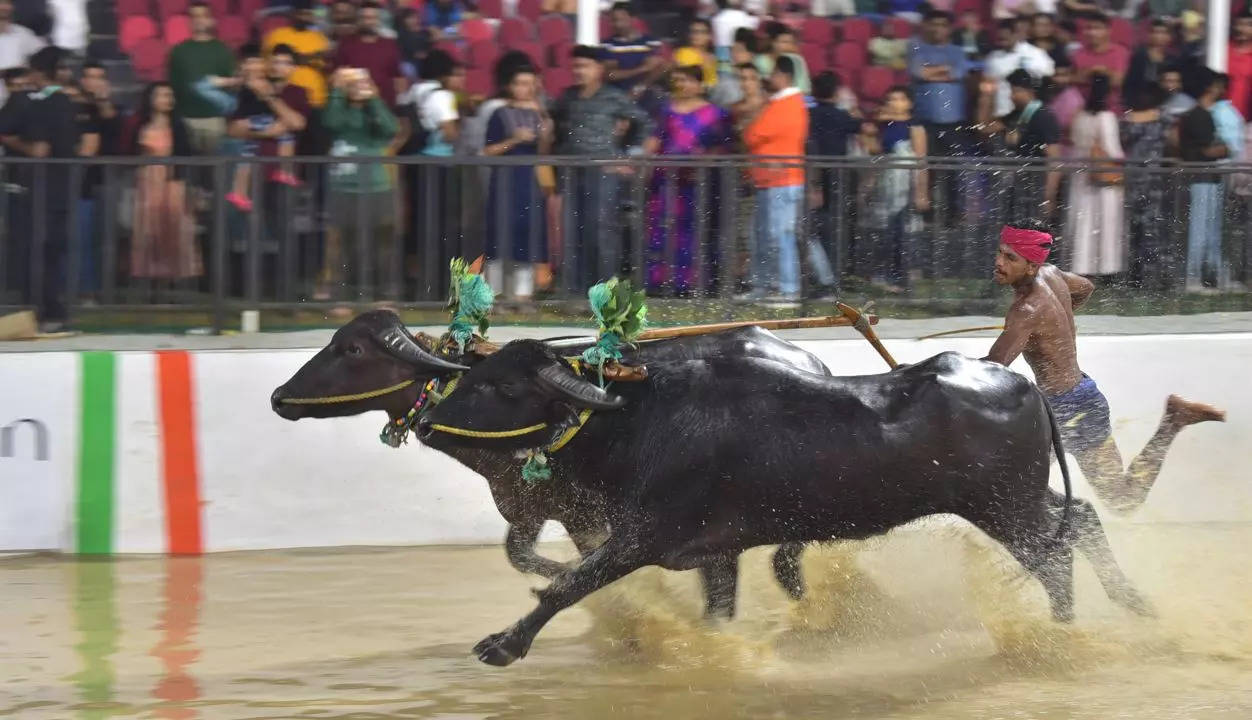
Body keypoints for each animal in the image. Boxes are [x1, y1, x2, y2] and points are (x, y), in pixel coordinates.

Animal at [269, 310, 826, 613]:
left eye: (352, 348)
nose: (278, 397)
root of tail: (811, 361)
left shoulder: (591, 515)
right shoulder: (533, 512)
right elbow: (522, 556)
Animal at [420, 340, 1151, 666]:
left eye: (500, 388)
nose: (425, 418)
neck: (639, 420)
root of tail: (1021, 383)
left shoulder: (642, 536)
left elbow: (568, 582)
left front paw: (503, 644)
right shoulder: (715, 553)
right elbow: (716, 610)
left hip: (1005, 507)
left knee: (1055, 555)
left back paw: (1059, 633)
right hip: (1025, 498)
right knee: (1081, 521)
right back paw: (1129, 607)